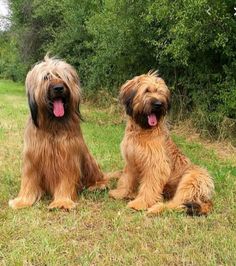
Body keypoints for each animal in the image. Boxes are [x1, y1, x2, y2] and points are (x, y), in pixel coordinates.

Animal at [9, 56, 107, 210]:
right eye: (46, 77)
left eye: (62, 76)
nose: (59, 88)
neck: (52, 125)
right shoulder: (32, 158)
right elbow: (29, 182)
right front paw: (22, 201)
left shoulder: (67, 157)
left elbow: (65, 181)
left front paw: (62, 202)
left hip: (89, 159)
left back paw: (97, 186)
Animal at [109, 71, 214, 215]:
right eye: (147, 90)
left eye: (161, 92)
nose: (159, 104)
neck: (142, 130)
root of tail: (207, 200)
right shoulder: (131, 161)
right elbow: (126, 179)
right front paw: (120, 193)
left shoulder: (156, 165)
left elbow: (149, 186)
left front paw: (139, 203)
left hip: (192, 179)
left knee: (177, 204)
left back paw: (157, 207)